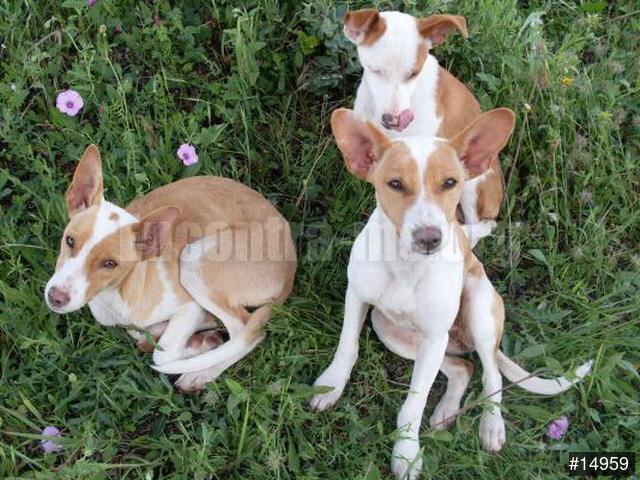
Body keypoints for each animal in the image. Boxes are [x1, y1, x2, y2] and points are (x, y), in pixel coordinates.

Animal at [45, 145, 297, 392]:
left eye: (110, 263)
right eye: (69, 240)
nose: (56, 297)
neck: (116, 295)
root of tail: (291, 265)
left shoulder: (188, 307)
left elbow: (163, 355)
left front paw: (196, 346)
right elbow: (139, 333)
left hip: (194, 260)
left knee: (245, 331)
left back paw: (200, 373)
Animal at [310, 109, 592, 479]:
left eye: (449, 183)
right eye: (395, 184)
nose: (429, 237)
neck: (406, 264)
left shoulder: (434, 334)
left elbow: (413, 405)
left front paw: (406, 454)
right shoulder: (357, 297)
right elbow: (347, 348)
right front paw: (331, 386)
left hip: (476, 313)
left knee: (490, 374)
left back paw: (491, 426)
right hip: (396, 332)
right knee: (463, 368)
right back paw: (446, 411)